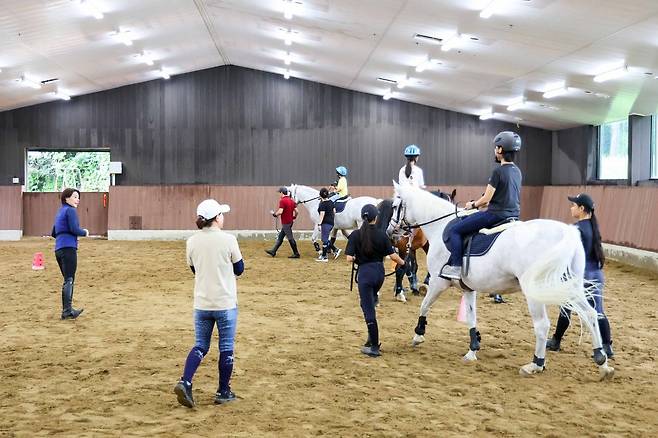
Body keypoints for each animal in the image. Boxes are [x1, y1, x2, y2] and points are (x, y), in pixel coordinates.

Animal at [390, 181, 608, 380]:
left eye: (394, 205)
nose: (390, 232)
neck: (440, 226)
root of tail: (566, 233)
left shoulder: (438, 282)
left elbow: (424, 305)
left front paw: (418, 334)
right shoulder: (468, 288)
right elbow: (471, 317)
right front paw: (473, 349)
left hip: (534, 292)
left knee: (542, 325)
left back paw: (535, 364)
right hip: (572, 286)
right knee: (591, 314)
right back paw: (602, 361)